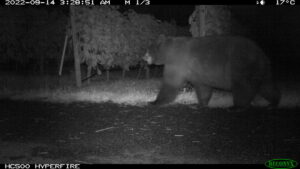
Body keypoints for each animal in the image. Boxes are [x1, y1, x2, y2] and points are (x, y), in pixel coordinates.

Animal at [144, 35, 280, 109]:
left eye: (148, 49)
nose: (143, 57)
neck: (168, 52)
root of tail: (262, 55)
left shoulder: (177, 63)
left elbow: (170, 84)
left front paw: (154, 101)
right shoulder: (197, 72)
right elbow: (202, 87)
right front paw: (200, 104)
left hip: (240, 65)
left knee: (242, 87)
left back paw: (237, 106)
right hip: (260, 70)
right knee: (266, 86)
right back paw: (273, 103)